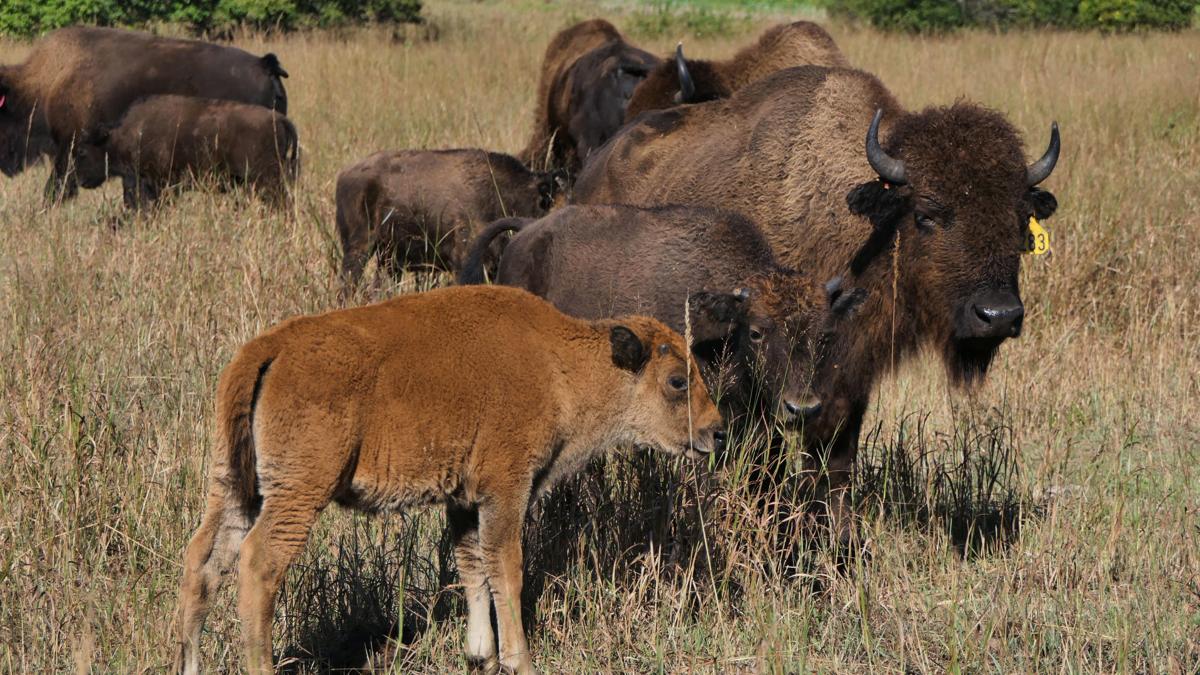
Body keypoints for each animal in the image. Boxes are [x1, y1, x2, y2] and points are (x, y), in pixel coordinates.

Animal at [574, 65, 1060, 537]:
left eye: (1021, 220)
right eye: (925, 214)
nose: (997, 315)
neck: (864, 226)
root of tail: (595, 166)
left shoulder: (848, 381)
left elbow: (835, 463)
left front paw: (841, 541)